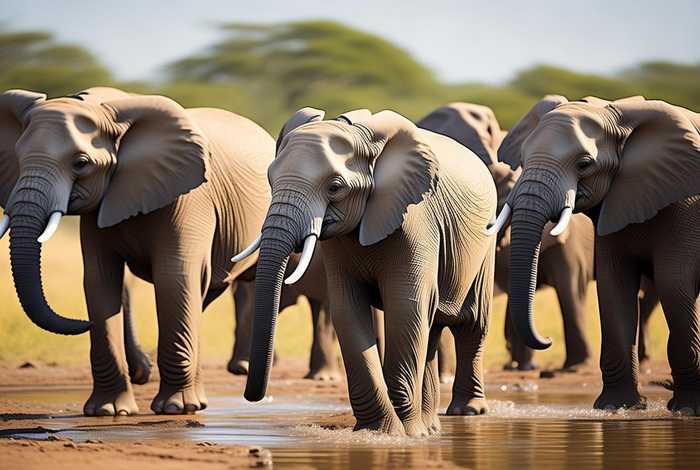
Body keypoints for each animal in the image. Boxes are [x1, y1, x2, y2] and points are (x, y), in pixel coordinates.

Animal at [0, 86, 273, 416]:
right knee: (201, 296)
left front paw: (173, 409)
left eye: (81, 163)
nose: (82, 323)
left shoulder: (189, 198)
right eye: (18, 157)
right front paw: (108, 411)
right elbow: (100, 280)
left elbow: (174, 278)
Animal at [233, 106, 497, 436]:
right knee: (432, 328)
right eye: (270, 180)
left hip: (486, 242)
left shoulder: (416, 219)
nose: (252, 396)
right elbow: (347, 310)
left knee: (472, 325)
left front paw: (402, 435)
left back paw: (465, 413)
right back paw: (431, 428)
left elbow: (405, 307)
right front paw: (380, 432)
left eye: (335, 188)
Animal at [493, 94, 700, 413]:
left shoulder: (683, 203)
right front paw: (617, 407)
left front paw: (687, 408)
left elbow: (674, 283)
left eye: (584, 164)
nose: (547, 339)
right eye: (524, 161)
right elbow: (613, 284)